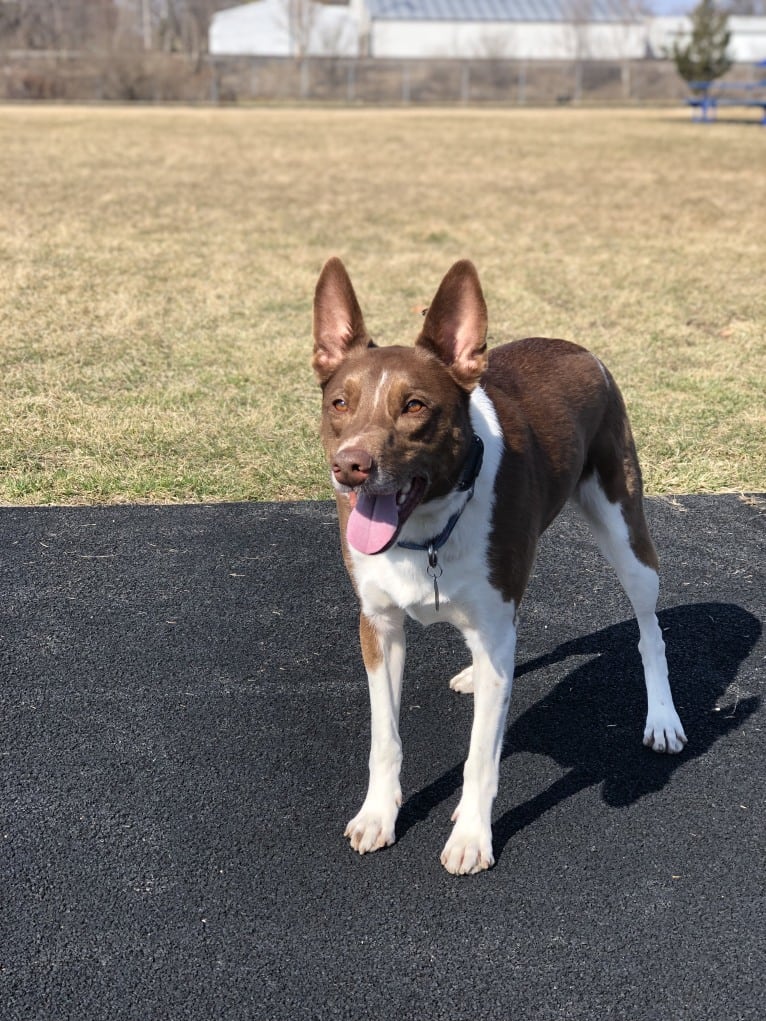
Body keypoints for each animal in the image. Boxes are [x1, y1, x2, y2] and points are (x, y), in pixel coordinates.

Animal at [312, 259, 690, 873]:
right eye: (339, 404)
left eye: (415, 406)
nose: (350, 467)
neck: (428, 529)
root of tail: (577, 347)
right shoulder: (379, 625)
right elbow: (384, 737)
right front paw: (378, 814)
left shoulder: (490, 622)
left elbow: (480, 756)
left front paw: (471, 835)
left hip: (624, 527)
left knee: (649, 628)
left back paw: (661, 718)